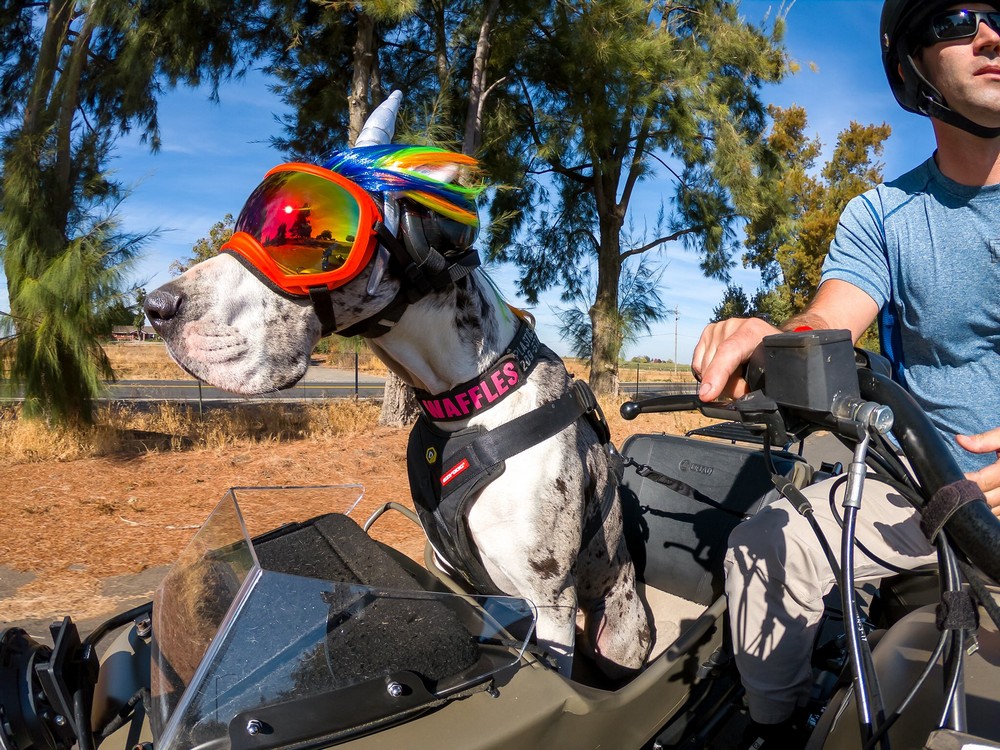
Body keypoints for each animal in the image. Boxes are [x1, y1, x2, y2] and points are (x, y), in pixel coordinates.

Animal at [145, 91, 652, 680]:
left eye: (307, 238)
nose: (155, 306)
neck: (469, 402)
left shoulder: (549, 604)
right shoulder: (452, 575)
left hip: (618, 630)